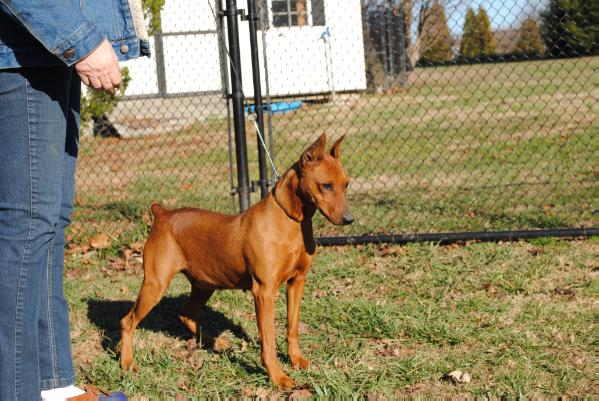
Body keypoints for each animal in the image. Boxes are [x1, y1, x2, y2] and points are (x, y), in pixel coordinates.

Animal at [120, 134, 352, 388]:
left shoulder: (297, 282)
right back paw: (127, 362)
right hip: (155, 284)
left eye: (347, 184)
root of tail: (162, 213)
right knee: (127, 322)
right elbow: (268, 338)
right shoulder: (264, 291)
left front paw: (295, 360)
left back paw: (215, 342)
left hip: (203, 285)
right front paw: (277, 376)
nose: (349, 219)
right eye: (326, 185)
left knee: (186, 314)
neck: (290, 221)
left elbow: (292, 327)